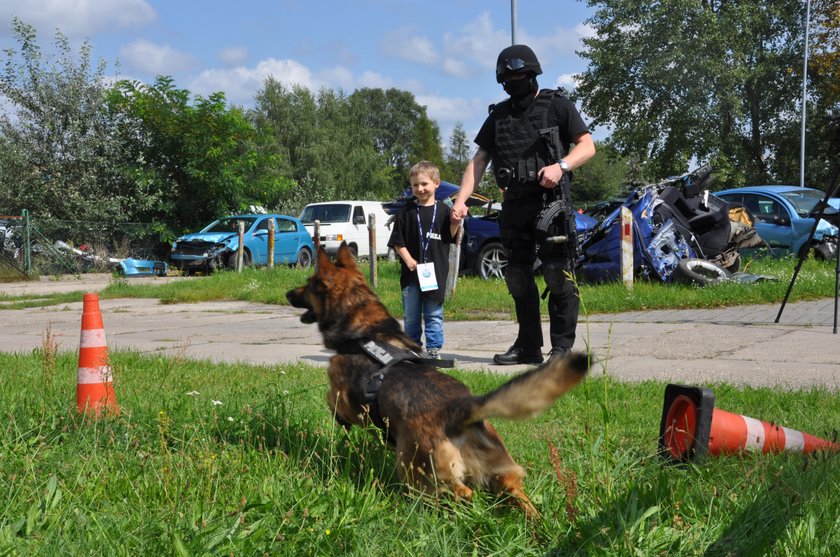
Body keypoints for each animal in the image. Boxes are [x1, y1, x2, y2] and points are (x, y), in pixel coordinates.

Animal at [286, 244, 588, 516]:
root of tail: (461, 411)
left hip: (417, 470)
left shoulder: (342, 396)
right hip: (501, 471)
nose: (288, 292)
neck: (366, 327)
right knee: (514, 492)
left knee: (460, 492)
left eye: (308, 284)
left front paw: (339, 421)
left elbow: (333, 403)